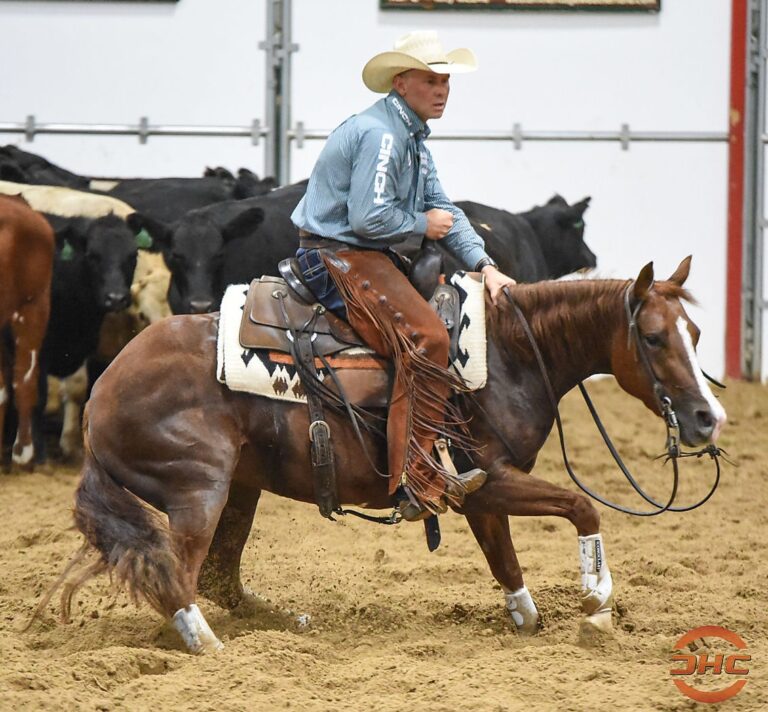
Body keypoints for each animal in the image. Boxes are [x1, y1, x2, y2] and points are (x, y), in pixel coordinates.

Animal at [41, 256, 726, 653]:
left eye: (695, 334)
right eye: (655, 337)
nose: (706, 418)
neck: (507, 355)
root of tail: (101, 391)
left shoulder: (480, 493)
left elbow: (506, 564)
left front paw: (530, 619)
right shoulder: (488, 479)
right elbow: (582, 507)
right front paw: (596, 604)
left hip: (239, 486)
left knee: (215, 573)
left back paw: (281, 623)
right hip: (198, 490)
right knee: (174, 574)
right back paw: (205, 642)